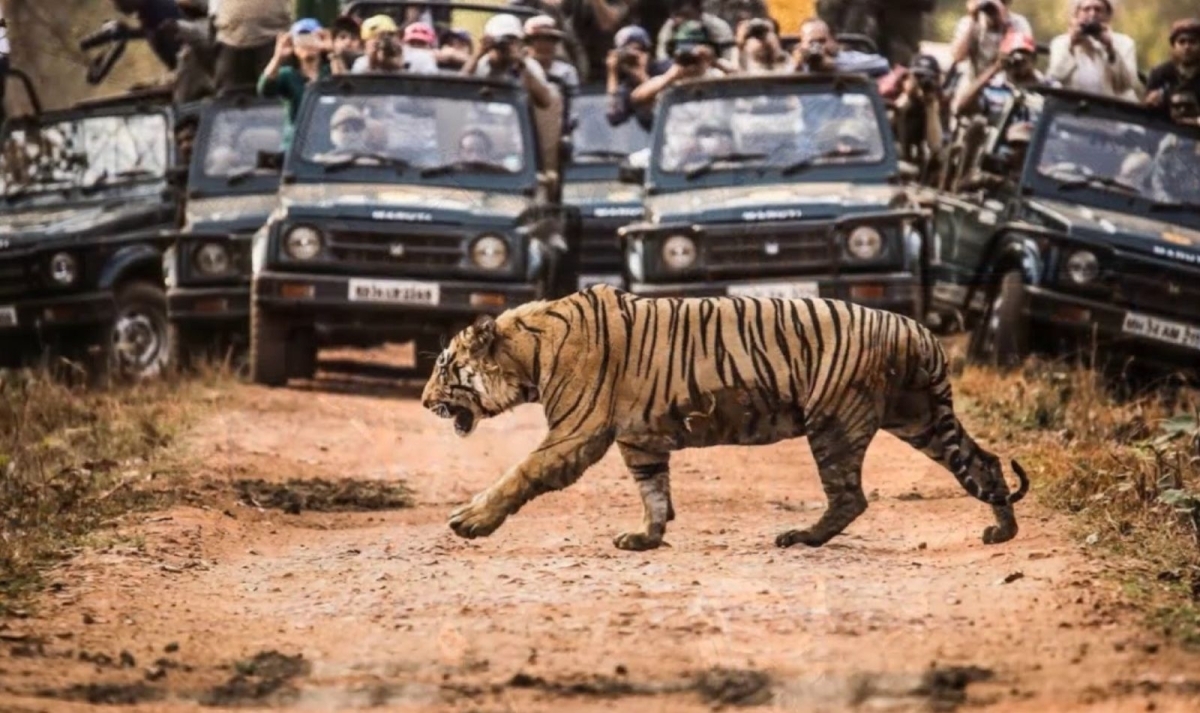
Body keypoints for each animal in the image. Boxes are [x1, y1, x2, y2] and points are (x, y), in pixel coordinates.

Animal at [421, 284, 1029, 552]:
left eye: (445, 367)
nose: (425, 402)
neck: (527, 352)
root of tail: (920, 331)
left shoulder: (575, 433)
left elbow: (518, 474)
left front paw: (469, 521)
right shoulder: (640, 441)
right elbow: (654, 491)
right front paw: (646, 537)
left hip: (835, 422)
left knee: (851, 496)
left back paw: (800, 538)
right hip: (919, 418)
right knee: (984, 462)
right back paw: (1001, 530)